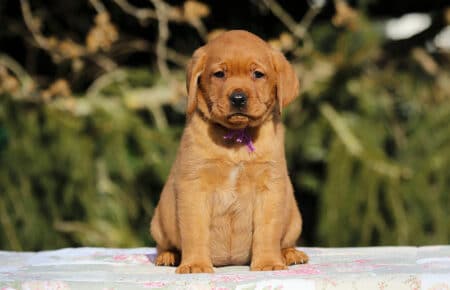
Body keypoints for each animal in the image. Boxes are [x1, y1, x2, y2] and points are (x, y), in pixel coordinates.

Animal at [149, 30, 308, 274]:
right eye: (219, 74)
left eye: (258, 74)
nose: (238, 98)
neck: (236, 140)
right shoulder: (194, 186)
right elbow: (194, 231)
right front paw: (195, 264)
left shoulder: (270, 187)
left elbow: (268, 231)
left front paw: (268, 262)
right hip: (160, 222)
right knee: (164, 244)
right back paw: (168, 256)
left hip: (294, 219)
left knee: (286, 241)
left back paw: (290, 254)